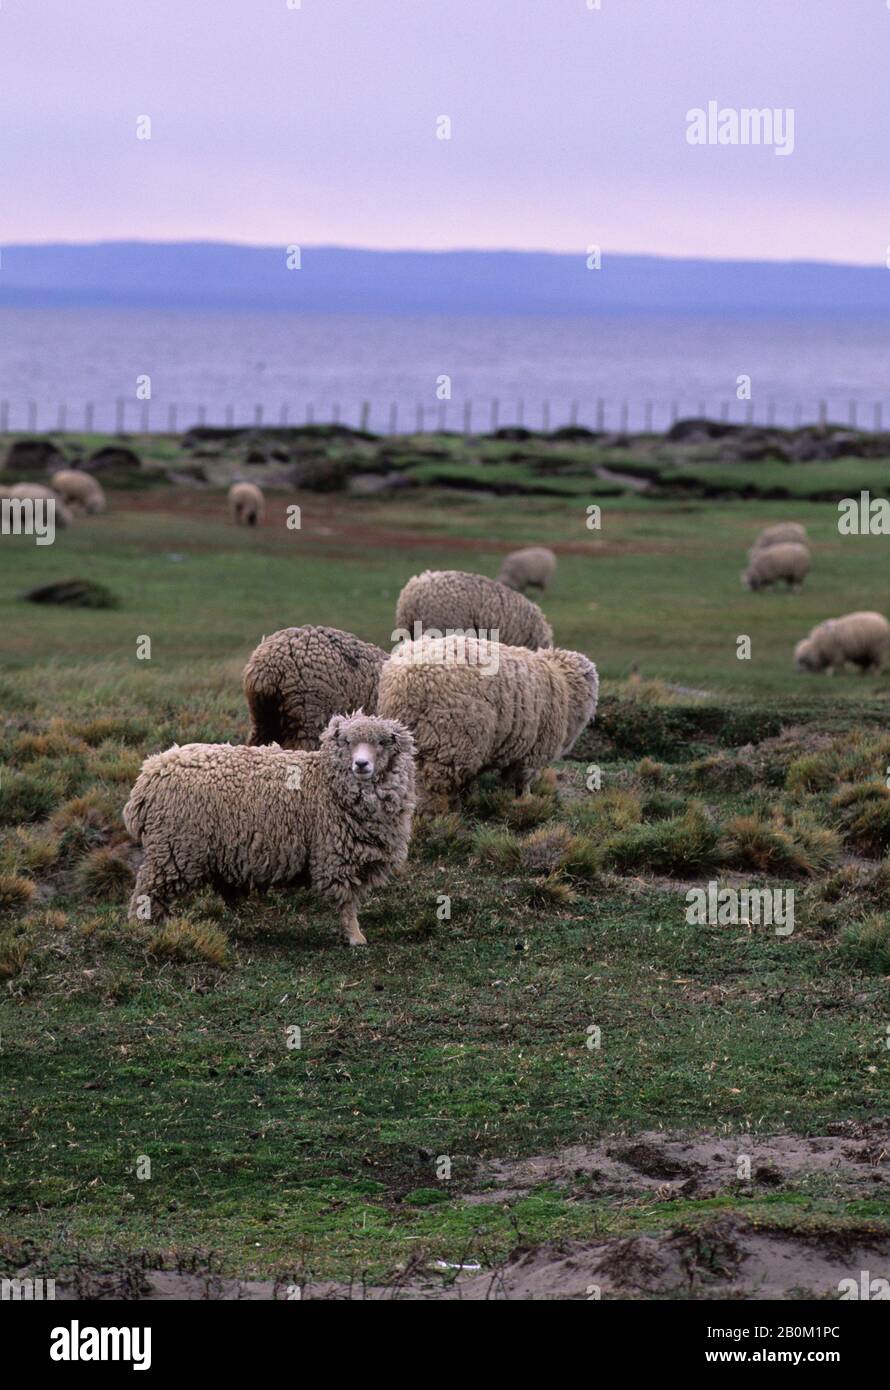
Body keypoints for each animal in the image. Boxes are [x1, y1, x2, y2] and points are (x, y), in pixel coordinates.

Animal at [122, 711, 415, 946]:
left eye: (382, 742)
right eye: (346, 742)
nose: (361, 764)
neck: (325, 781)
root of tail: (148, 776)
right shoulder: (335, 856)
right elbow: (347, 903)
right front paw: (355, 937)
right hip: (174, 848)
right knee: (146, 890)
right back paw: (141, 928)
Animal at [377, 633, 598, 814]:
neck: (563, 683)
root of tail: (405, 680)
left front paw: (468, 799)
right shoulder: (534, 751)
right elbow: (523, 780)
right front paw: (526, 801)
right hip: (450, 740)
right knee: (432, 787)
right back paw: (438, 817)